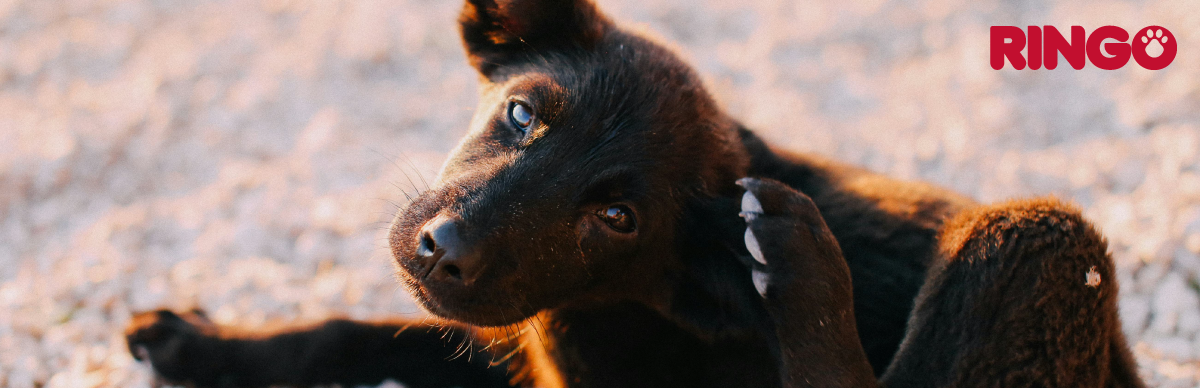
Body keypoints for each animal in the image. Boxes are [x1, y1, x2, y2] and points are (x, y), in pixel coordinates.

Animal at [126, 0, 1147, 386]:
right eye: (521, 113)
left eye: (617, 220)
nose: (442, 249)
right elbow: (350, 331)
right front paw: (203, 342)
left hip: (1043, 238)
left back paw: (801, 266)